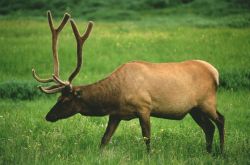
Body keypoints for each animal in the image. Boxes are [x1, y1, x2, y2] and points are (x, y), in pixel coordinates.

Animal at [31, 11, 225, 153]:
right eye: (58, 98)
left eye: (65, 100)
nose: (49, 116)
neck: (115, 96)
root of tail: (214, 72)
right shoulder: (115, 114)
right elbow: (104, 139)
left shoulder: (144, 107)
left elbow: (147, 138)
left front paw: (149, 155)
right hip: (194, 108)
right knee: (209, 127)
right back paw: (208, 152)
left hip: (207, 101)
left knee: (220, 120)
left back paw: (222, 152)